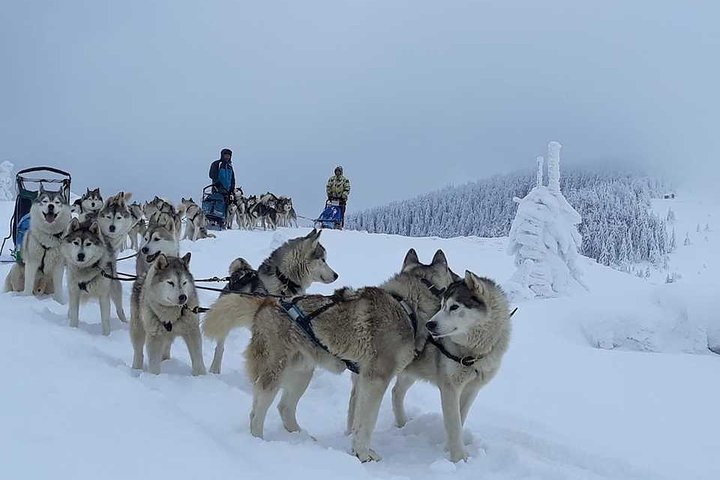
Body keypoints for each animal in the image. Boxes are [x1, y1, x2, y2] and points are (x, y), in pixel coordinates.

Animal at [201, 248, 456, 462]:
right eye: (453, 276)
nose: (461, 278)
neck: (407, 305)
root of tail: (266, 303)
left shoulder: (362, 379)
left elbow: (357, 420)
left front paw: (355, 448)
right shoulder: (376, 380)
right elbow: (367, 423)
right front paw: (364, 454)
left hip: (302, 374)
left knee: (284, 407)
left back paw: (301, 437)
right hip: (272, 375)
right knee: (256, 414)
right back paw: (259, 444)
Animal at [205, 230, 338, 376]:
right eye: (323, 260)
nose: (336, 275)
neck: (284, 281)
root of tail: (240, 271)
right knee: (220, 346)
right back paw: (215, 367)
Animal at [394, 270, 512, 462]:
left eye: (454, 307)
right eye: (442, 306)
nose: (429, 324)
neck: (472, 353)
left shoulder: (472, 389)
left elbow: (460, 418)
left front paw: (448, 448)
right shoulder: (450, 388)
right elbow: (454, 424)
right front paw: (459, 458)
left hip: (410, 373)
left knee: (396, 392)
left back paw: (401, 424)